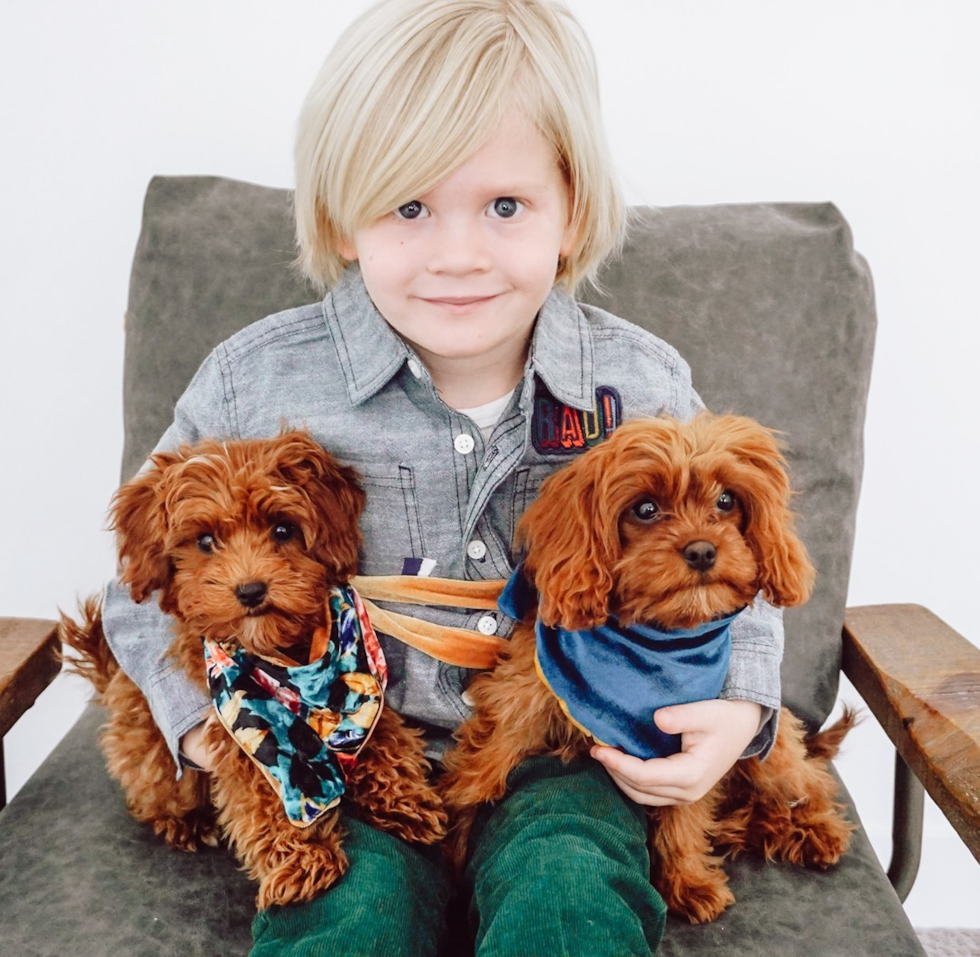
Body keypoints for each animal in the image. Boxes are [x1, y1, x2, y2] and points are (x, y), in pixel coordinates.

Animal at [61, 430, 444, 908]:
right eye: (205, 541)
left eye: (282, 529)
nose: (250, 590)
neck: (292, 665)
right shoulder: (242, 730)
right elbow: (263, 794)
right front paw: (302, 861)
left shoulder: (363, 692)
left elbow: (384, 737)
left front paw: (405, 800)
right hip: (151, 750)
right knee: (155, 793)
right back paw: (184, 824)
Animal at [440, 414, 852, 924]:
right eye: (646, 509)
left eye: (726, 501)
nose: (702, 550)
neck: (654, 644)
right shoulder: (521, 700)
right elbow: (481, 772)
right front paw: (453, 841)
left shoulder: (693, 743)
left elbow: (685, 814)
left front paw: (687, 881)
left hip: (768, 756)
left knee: (807, 780)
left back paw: (814, 829)